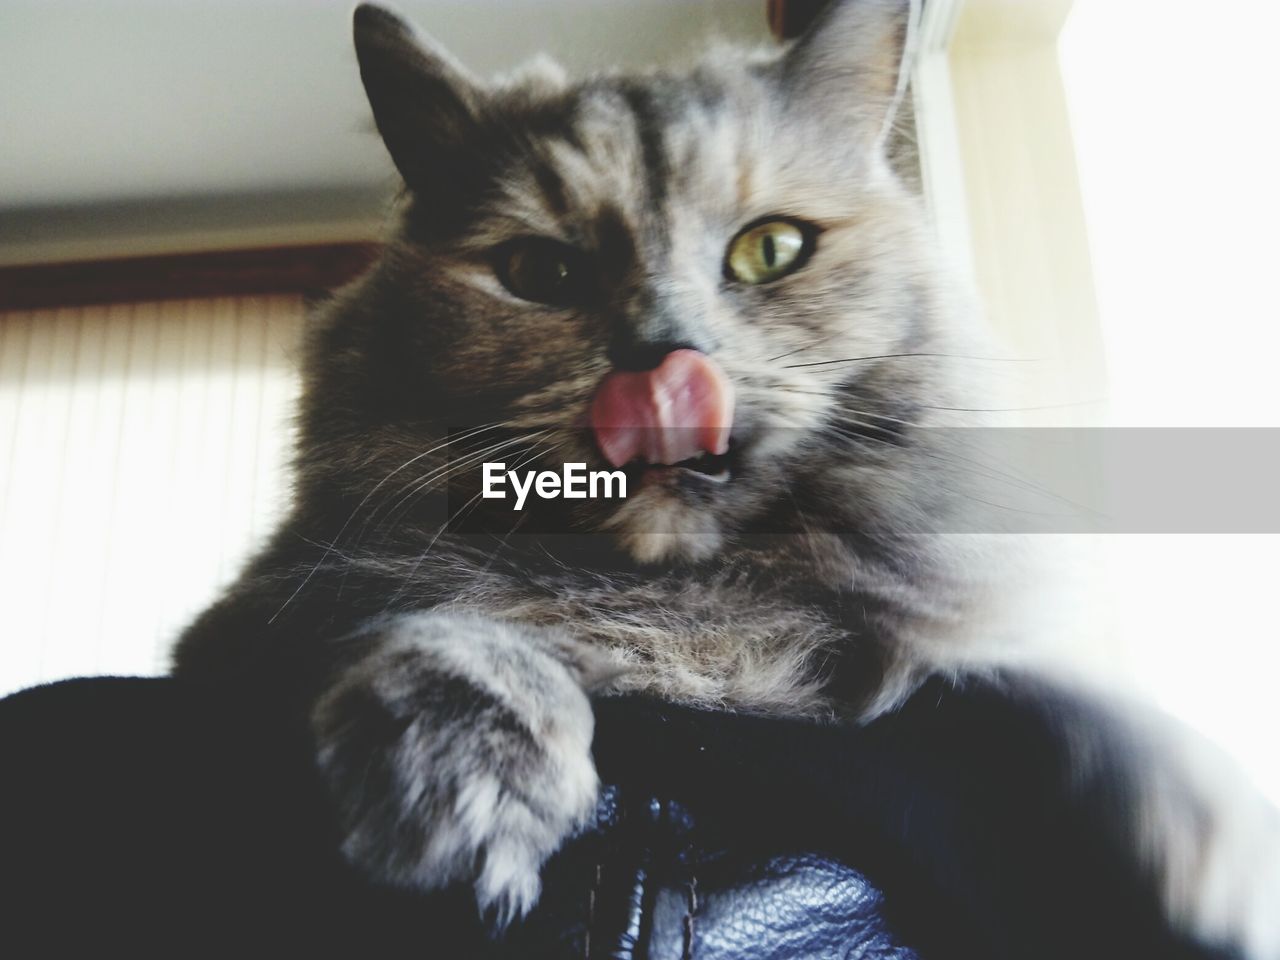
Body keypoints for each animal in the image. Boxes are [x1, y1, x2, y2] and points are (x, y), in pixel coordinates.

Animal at [170, 0, 1280, 957]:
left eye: (770, 250)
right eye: (539, 275)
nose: (663, 361)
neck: (690, 602)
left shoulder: (947, 645)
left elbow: (1055, 691)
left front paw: (1211, 831)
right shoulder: (259, 620)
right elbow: (456, 616)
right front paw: (465, 782)